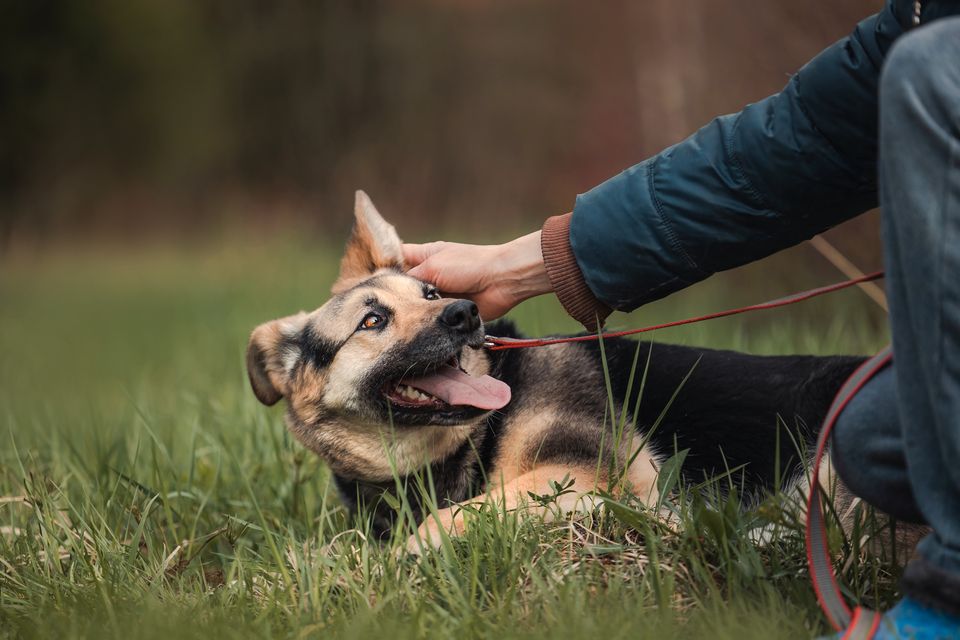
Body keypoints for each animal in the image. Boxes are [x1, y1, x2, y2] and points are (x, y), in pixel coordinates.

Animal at [248, 190, 872, 552]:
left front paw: (397, 560)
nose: (464, 312)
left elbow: (450, 517)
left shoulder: (592, 475)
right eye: (373, 320)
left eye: (430, 294)